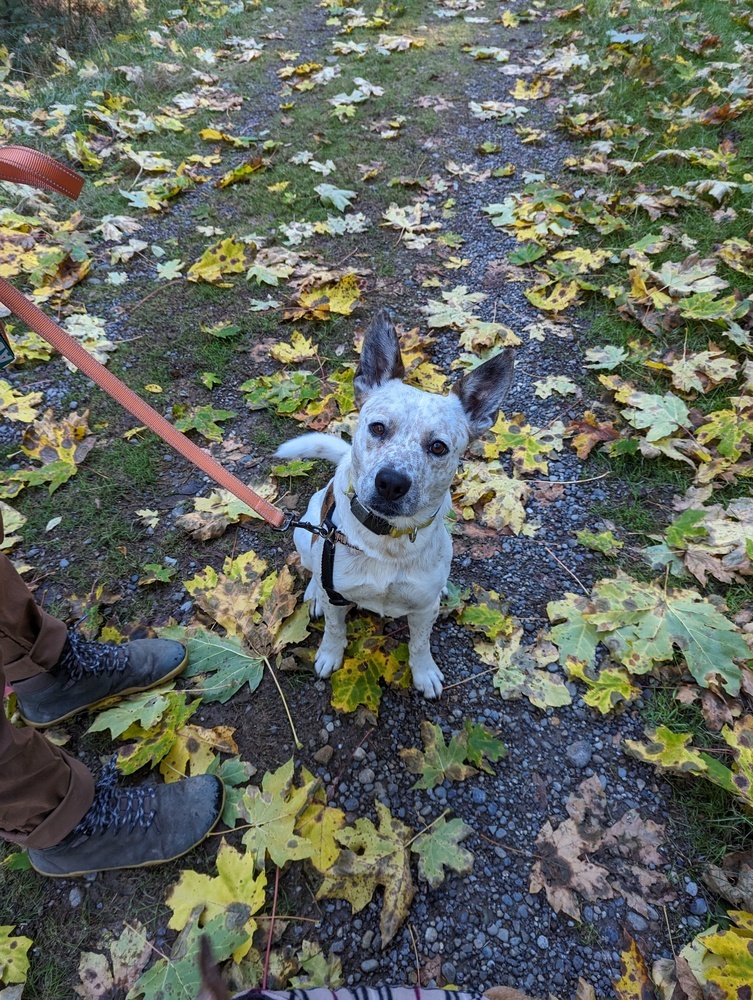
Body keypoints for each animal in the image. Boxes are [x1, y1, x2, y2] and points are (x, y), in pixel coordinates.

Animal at [274, 308, 516, 700]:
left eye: (438, 447)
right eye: (377, 428)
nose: (391, 483)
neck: (387, 542)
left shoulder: (422, 609)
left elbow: (420, 642)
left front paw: (424, 671)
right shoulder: (337, 594)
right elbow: (335, 629)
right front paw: (329, 654)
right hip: (306, 532)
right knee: (311, 565)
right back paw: (313, 593)